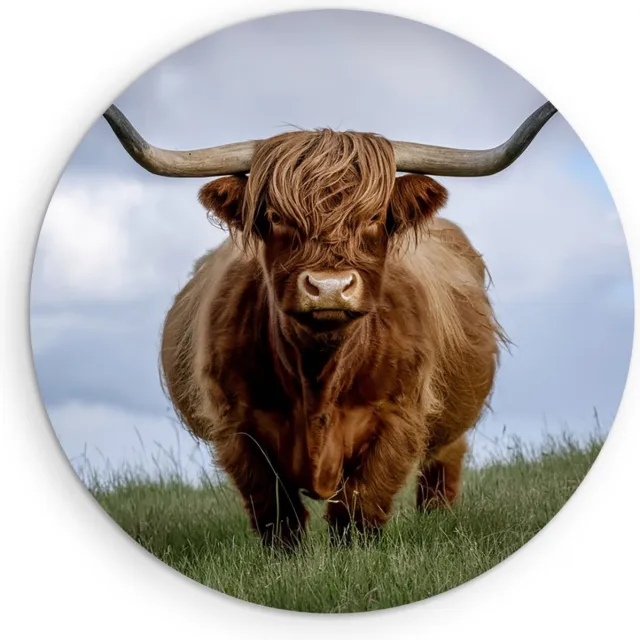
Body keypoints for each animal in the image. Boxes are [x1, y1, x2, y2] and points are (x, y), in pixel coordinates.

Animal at [103, 101, 557, 548]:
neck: (318, 372)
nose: (329, 288)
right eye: (276, 216)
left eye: (374, 215)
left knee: (442, 469)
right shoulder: (239, 426)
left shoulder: (398, 418)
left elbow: (359, 509)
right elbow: (277, 513)